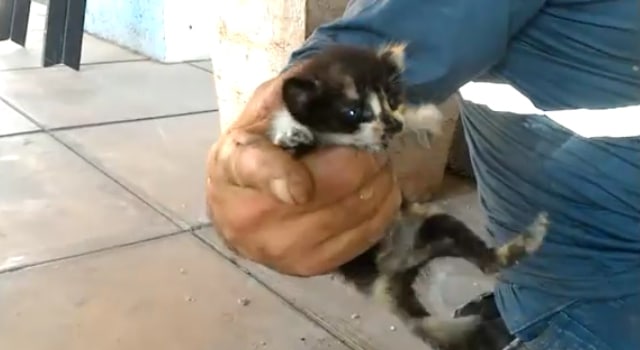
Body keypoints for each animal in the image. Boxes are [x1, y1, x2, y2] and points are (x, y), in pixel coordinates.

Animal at [264, 44, 552, 350]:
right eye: (353, 111)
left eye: (390, 99)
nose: (394, 125)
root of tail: (397, 265)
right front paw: (293, 133)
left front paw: (420, 118)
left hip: (428, 226)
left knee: (467, 245)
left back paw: (520, 244)